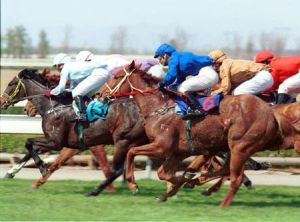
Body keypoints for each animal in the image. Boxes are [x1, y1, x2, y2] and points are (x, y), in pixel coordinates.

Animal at [101, 61, 300, 207]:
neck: (159, 107)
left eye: (117, 76)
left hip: (240, 146)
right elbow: (163, 173)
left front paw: (134, 184)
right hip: (233, 147)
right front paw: (174, 187)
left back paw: (219, 201)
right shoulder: (179, 151)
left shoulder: (162, 146)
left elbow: (131, 152)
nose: (99, 94)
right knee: (227, 170)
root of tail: (270, 111)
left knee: (234, 176)